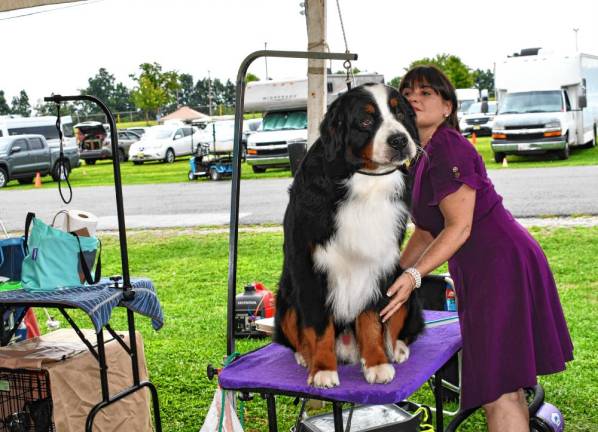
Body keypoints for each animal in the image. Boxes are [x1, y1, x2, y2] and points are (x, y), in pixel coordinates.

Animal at [276, 82, 426, 386]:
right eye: (366, 121)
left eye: (400, 114)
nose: (399, 140)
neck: (365, 182)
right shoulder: (309, 269)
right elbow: (318, 325)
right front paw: (322, 369)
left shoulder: (376, 265)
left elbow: (370, 320)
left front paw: (377, 363)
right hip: (285, 297)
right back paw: (305, 356)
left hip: (403, 286)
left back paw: (396, 348)